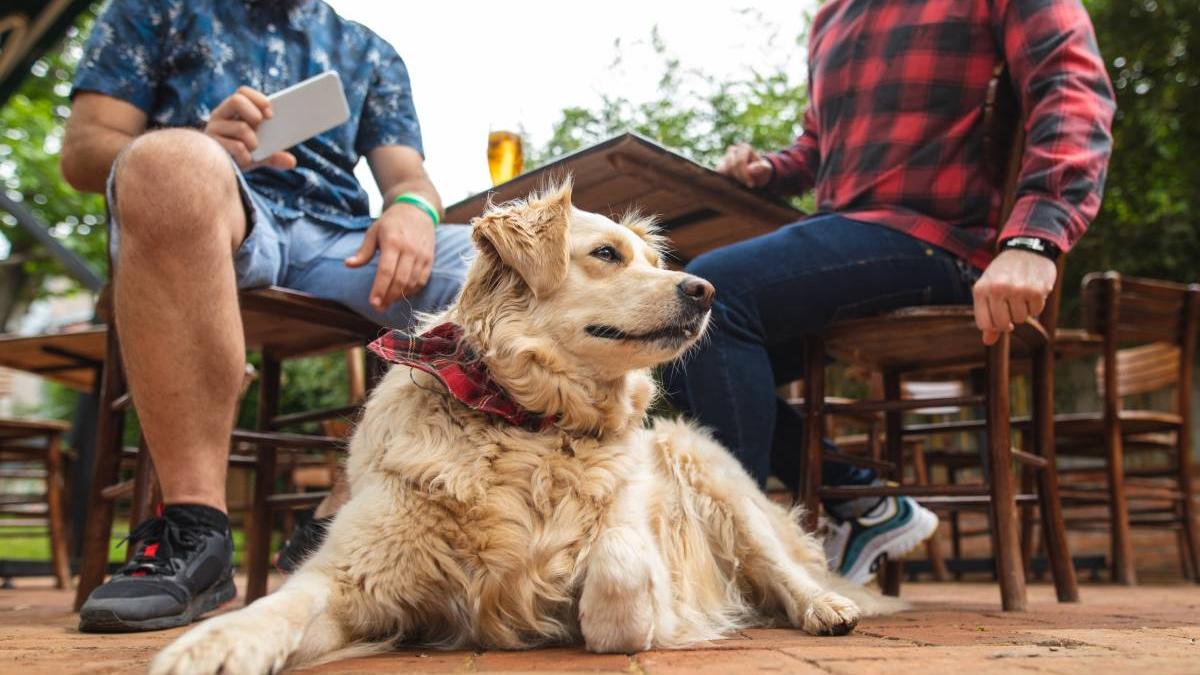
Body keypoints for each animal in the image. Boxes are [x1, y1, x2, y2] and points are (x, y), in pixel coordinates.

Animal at [150, 183, 897, 672]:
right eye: (606, 254)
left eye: (652, 262)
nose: (704, 290)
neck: (530, 423)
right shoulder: (354, 576)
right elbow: (280, 605)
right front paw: (214, 644)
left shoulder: (643, 553)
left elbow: (619, 573)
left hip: (715, 478)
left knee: (781, 568)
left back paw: (825, 607)